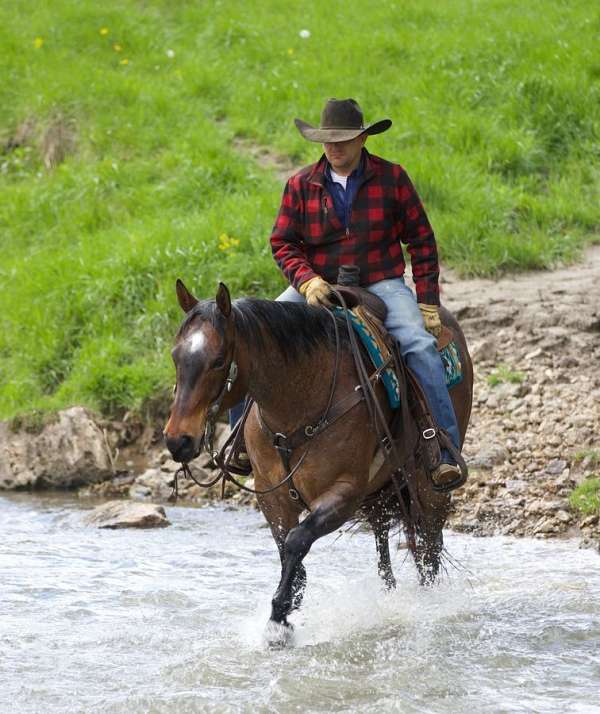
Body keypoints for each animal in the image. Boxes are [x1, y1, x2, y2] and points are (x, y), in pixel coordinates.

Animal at [164, 280, 473, 645]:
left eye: (218, 360)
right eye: (175, 356)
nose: (178, 440)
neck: (298, 406)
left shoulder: (344, 493)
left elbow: (298, 539)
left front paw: (279, 619)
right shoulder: (272, 495)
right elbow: (285, 545)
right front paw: (291, 600)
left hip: (426, 486)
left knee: (429, 547)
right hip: (379, 493)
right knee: (384, 541)